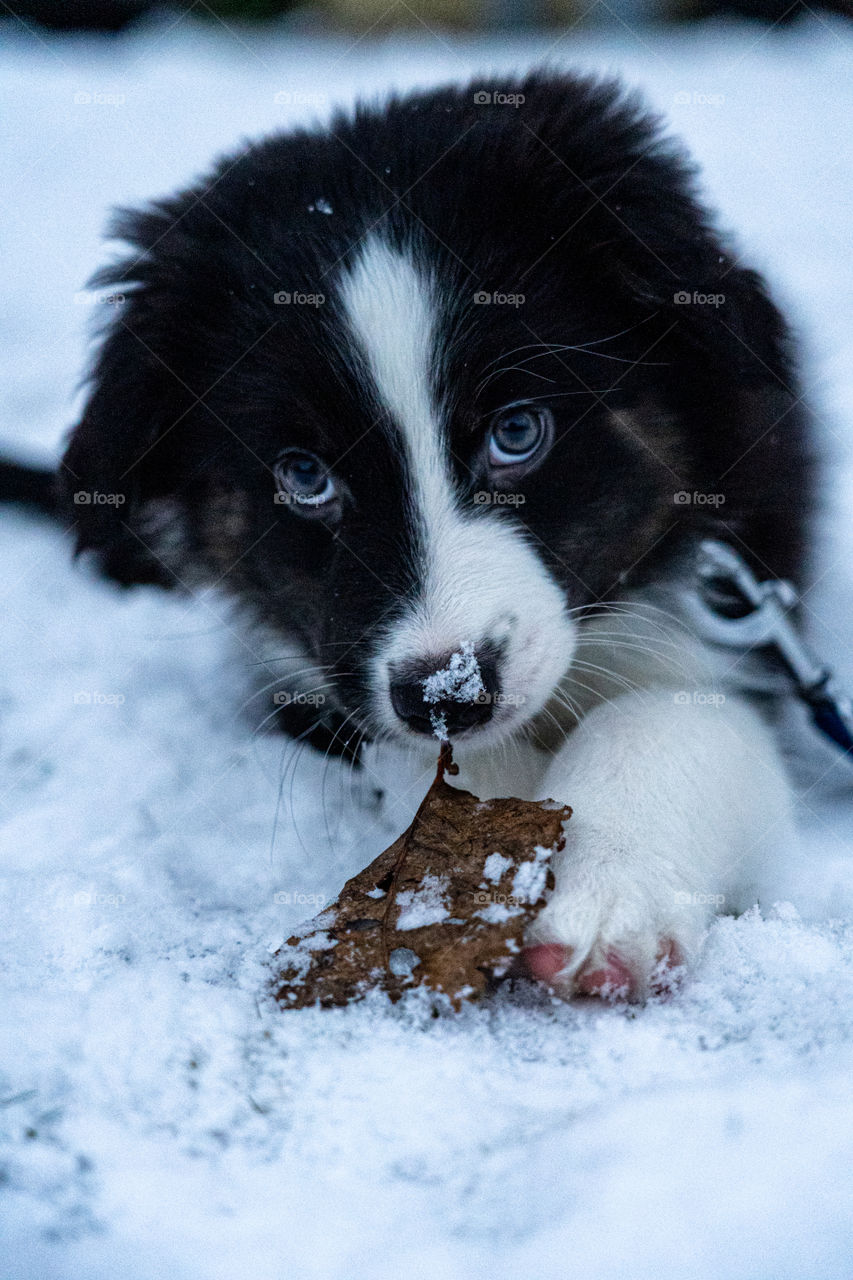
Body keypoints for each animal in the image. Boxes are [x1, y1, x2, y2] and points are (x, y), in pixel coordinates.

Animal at [59, 72, 809, 998]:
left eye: (517, 431)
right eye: (303, 475)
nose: (445, 694)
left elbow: (672, 720)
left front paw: (605, 898)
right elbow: (434, 772)